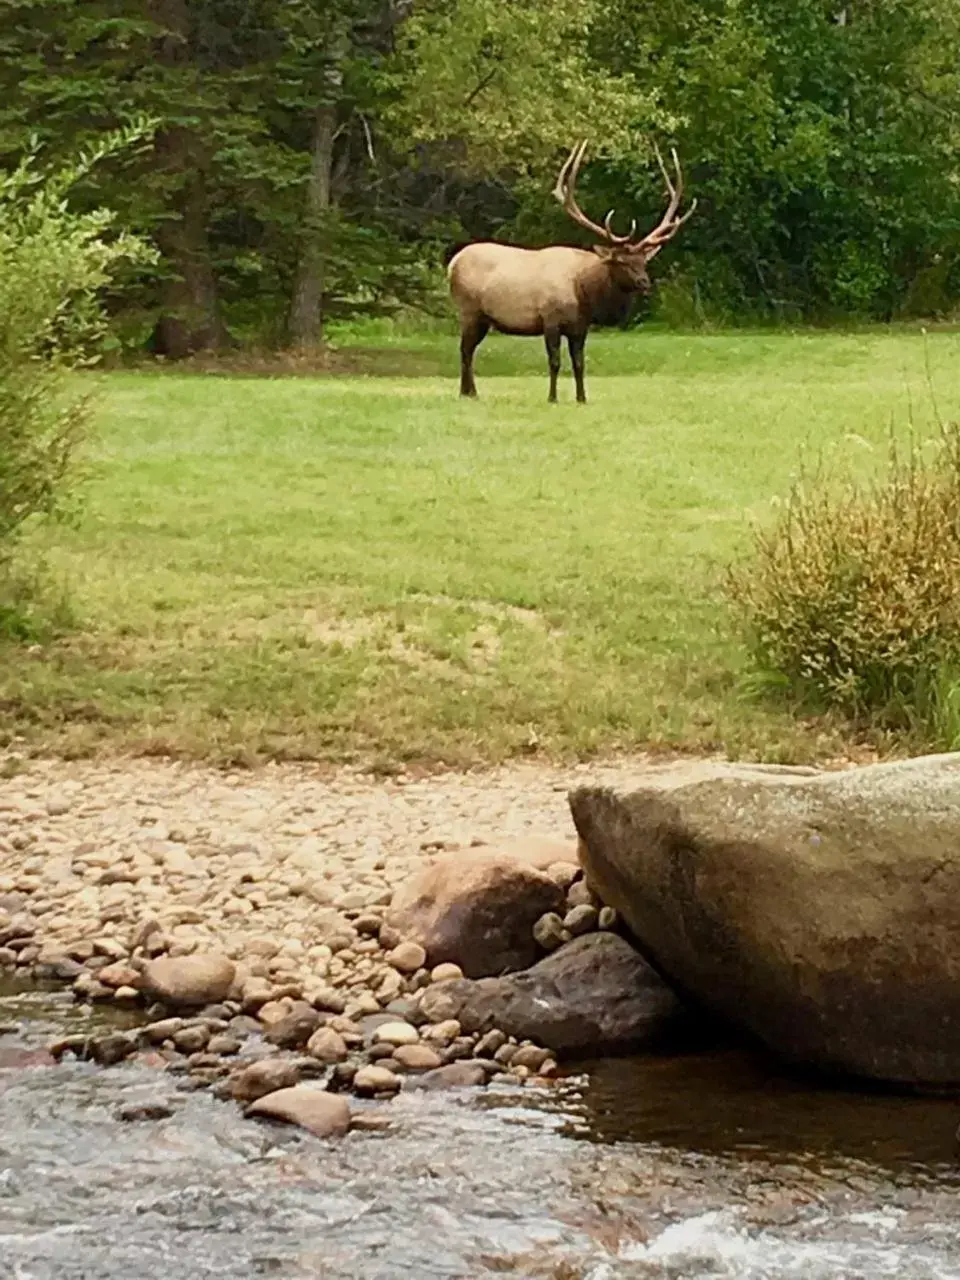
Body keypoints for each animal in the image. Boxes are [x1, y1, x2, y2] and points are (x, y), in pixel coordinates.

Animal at [448, 140, 696, 401]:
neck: (584, 292)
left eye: (642, 262)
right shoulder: (550, 320)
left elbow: (579, 363)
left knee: (469, 349)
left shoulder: (580, 327)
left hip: (483, 318)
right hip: (468, 310)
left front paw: (582, 398)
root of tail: (452, 263)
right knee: (465, 349)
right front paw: (552, 397)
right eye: (621, 261)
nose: (644, 282)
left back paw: (470, 392)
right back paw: (467, 392)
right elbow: (555, 362)